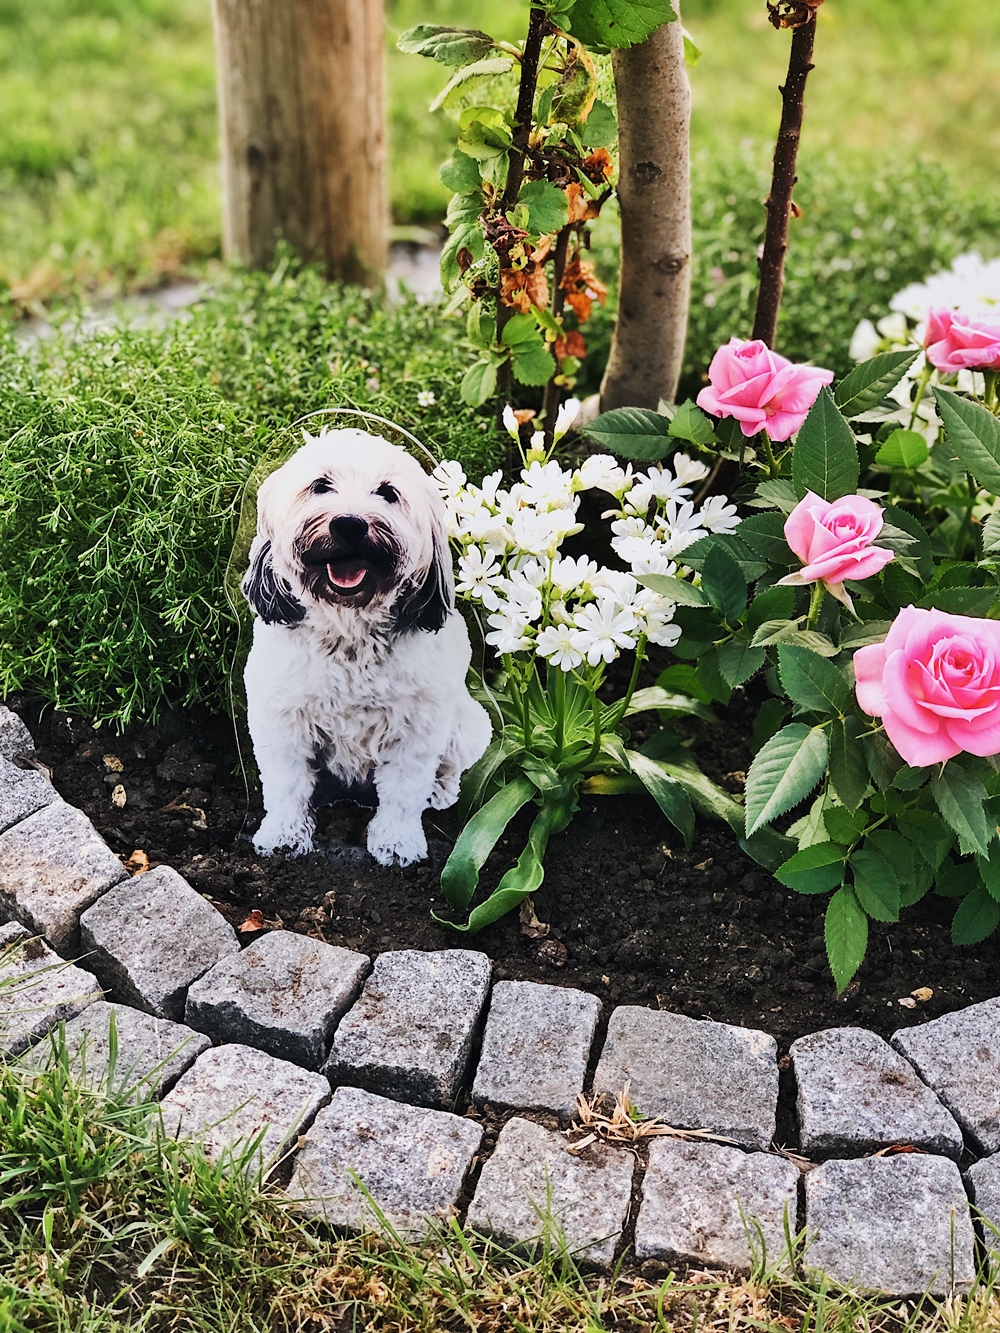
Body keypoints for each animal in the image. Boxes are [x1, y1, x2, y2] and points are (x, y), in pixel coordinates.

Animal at [242, 426, 493, 863]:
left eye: (388, 492)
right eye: (321, 485)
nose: (349, 524)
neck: (349, 637)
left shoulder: (416, 728)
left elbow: (404, 791)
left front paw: (397, 841)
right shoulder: (281, 720)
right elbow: (286, 784)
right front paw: (283, 835)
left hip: (468, 724)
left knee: (450, 768)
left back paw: (439, 792)